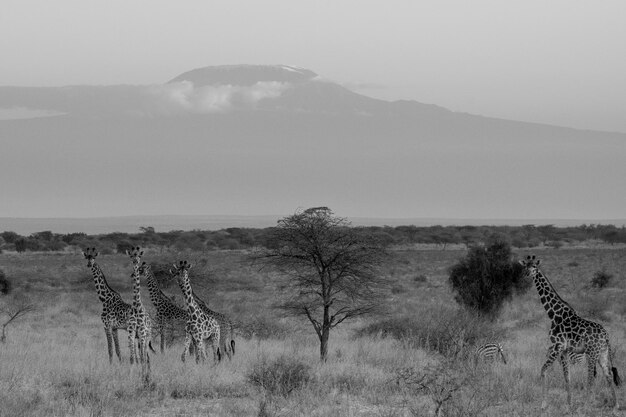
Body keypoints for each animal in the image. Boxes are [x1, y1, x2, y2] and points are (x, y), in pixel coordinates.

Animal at [516, 255, 620, 408]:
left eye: (534, 266)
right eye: (525, 266)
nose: (527, 274)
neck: (554, 314)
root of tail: (606, 335)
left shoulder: (557, 346)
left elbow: (543, 370)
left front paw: (543, 404)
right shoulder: (564, 349)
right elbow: (567, 376)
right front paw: (569, 403)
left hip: (592, 353)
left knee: (591, 377)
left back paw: (587, 404)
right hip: (603, 353)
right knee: (608, 375)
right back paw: (615, 405)